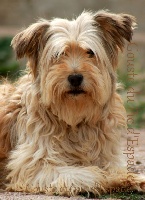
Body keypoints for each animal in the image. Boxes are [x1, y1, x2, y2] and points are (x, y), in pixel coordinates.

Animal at [0, 10, 145, 195]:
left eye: (90, 52)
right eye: (58, 55)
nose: (75, 78)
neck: (75, 121)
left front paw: (131, 179)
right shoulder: (33, 166)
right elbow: (89, 173)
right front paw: (107, 179)